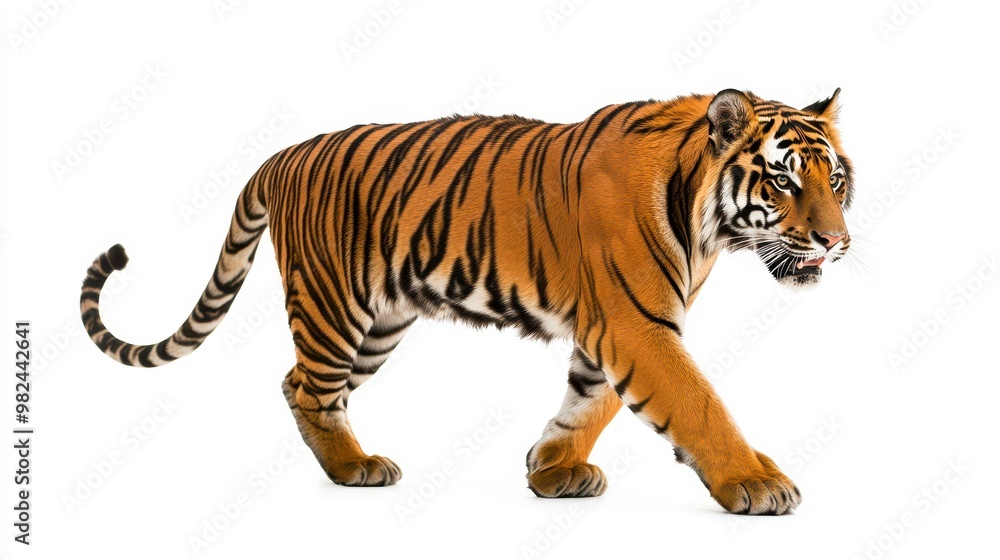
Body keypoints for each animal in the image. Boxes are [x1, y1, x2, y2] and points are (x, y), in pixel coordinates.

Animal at [80, 88, 853, 515]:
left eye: (836, 179)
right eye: (784, 181)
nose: (836, 241)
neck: (709, 224)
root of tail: (283, 156)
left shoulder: (612, 328)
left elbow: (589, 401)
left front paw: (551, 468)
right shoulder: (637, 324)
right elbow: (699, 404)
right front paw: (757, 483)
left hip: (378, 324)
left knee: (296, 382)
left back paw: (345, 461)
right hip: (335, 306)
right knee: (308, 388)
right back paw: (353, 469)